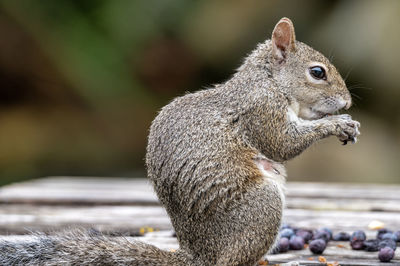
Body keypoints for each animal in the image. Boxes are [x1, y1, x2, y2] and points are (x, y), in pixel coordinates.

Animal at [0, 17, 360, 264]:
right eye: (317, 72)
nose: (346, 102)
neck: (268, 80)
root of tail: (199, 254)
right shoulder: (259, 109)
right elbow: (281, 143)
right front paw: (337, 124)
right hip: (264, 205)